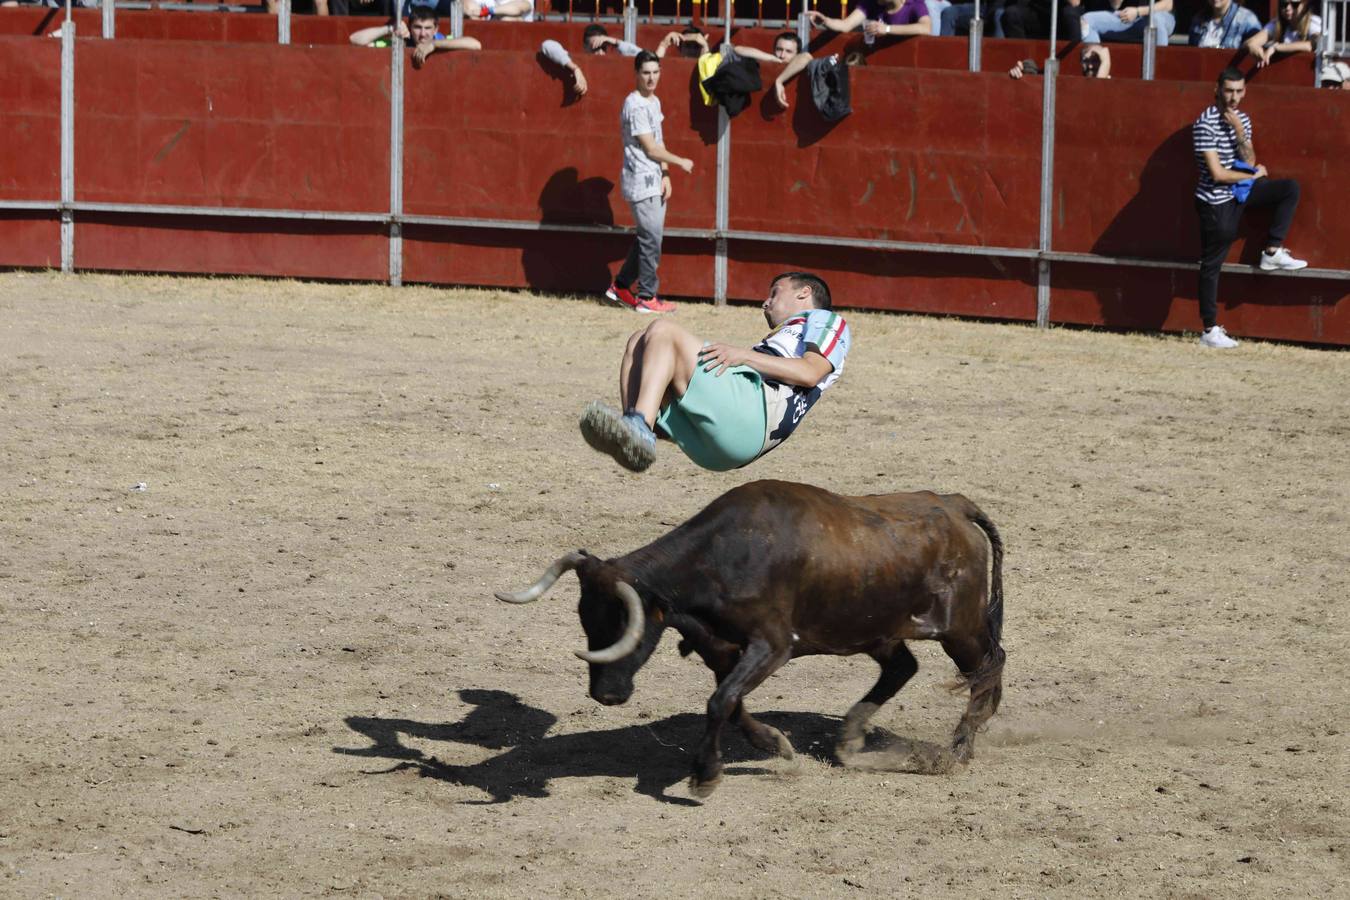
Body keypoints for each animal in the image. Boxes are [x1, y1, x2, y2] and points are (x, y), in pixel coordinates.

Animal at [496, 483, 1004, 798]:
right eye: (586, 617)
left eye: (625, 624)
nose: (606, 695)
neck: (723, 557)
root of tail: (954, 504)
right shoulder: (721, 650)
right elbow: (731, 702)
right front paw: (775, 743)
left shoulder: (772, 646)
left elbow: (720, 702)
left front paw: (705, 774)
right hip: (878, 630)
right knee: (904, 668)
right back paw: (851, 738)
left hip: (960, 629)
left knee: (988, 670)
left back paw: (957, 750)